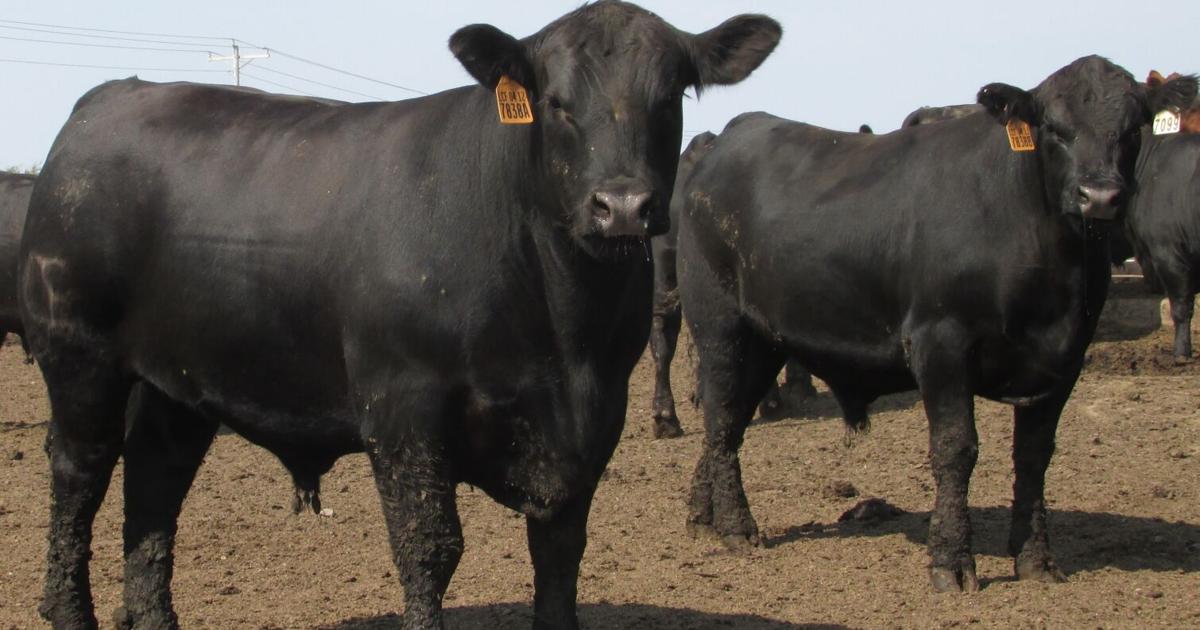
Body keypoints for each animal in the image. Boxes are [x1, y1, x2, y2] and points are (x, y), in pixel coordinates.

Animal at [19, 3, 781, 629]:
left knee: (154, 487)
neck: (562, 332)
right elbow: (429, 548)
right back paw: (68, 609)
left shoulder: (593, 423)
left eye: (669, 97)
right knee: (79, 477)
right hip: (78, 357)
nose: (621, 206)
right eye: (555, 102)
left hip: (176, 385)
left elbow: (561, 555)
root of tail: (111, 97)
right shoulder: (402, 406)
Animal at [676, 56, 1195, 593]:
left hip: (764, 340)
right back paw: (736, 526)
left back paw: (702, 515)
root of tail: (733, 134)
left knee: (729, 420)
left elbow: (1034, 456)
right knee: (721, 416)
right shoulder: (940, 343)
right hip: (721, 327)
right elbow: (955, 448)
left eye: (1133, 127)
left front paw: (1036, 558)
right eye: (1054, 127)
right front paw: (951, 559)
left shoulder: (1065, 358)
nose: (1101, 195)